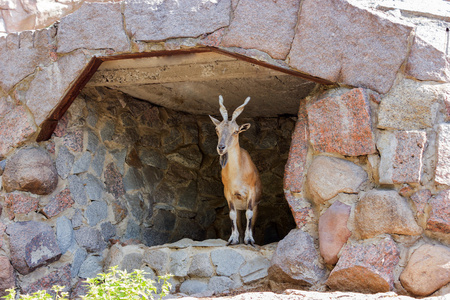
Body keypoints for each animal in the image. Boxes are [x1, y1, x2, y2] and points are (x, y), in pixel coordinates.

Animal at [209, 95, 262, 245]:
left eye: (236, 131)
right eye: (217, 129)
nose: (221, 147)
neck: (237, 174)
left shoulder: (251, 194)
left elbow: (249, 214)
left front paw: (249, 240)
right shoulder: (229, 194)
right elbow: (232, 215)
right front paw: (233, 239)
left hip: (256, 206)